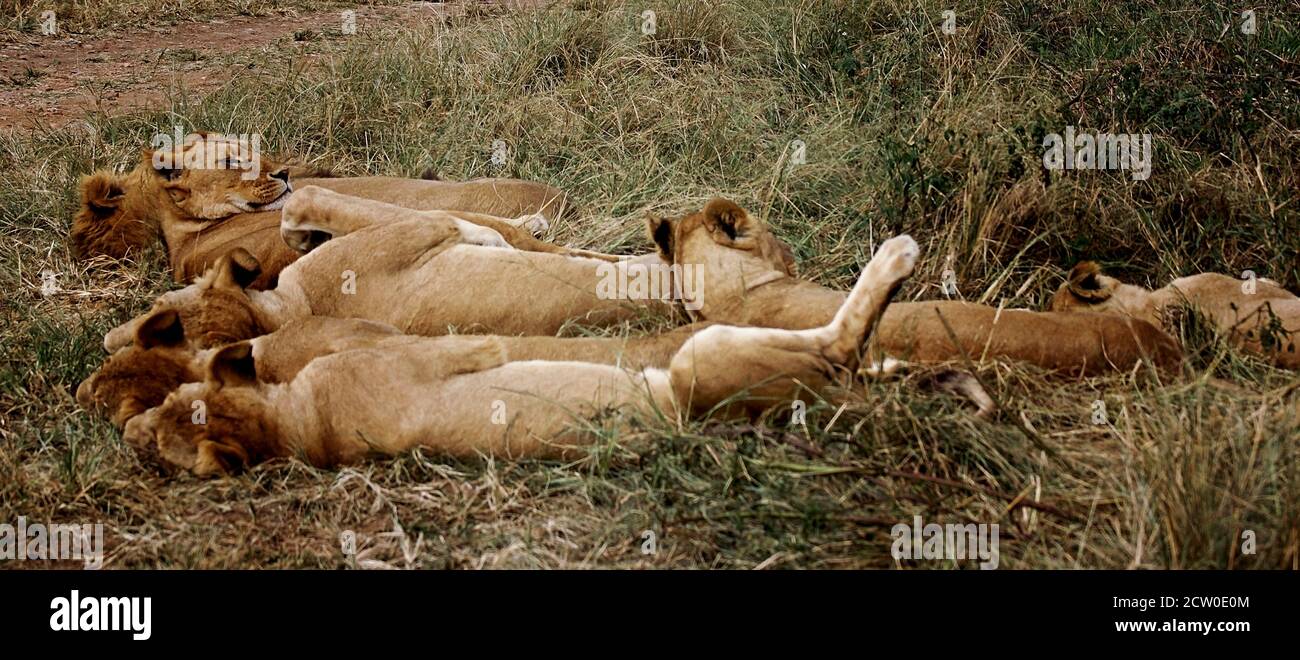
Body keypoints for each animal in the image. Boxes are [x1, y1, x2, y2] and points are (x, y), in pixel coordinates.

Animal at [119, 235, 921, 476]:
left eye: (161, 417)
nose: (130, 432)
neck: (289, 430)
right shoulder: (437, 351)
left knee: (856, 359)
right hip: (707, 361)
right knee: (839, 343)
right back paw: (895, 264)